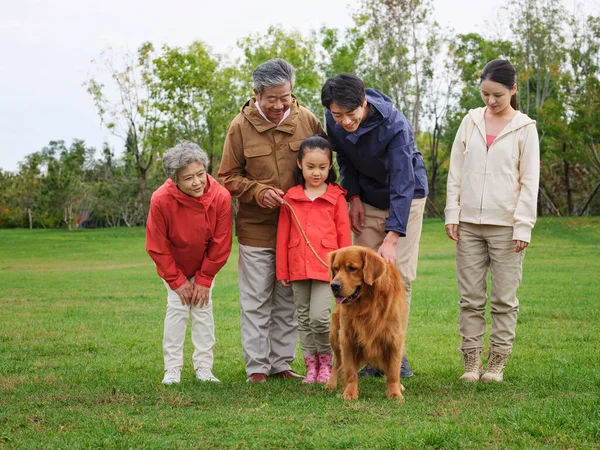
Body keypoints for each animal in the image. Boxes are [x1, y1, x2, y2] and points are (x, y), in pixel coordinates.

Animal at [326, 246, 410, 400]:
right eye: (335, 268)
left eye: (352, 268)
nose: (334, 285)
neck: (368, 303)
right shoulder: (347, 338)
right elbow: (350, 372)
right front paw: (349, 393)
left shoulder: (394, 338)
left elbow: (393, 371)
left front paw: (395, 393)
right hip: (335, 335)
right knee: (336, 362)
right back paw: (331, 384)